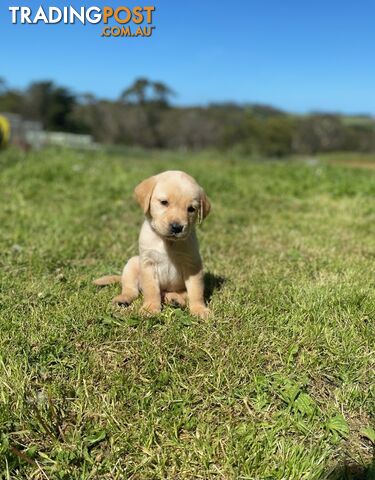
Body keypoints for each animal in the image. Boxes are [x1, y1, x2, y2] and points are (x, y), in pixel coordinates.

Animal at [94, 170, 212, 318]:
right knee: (131, 290)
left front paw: (199, 309)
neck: (167, 242)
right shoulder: (148, 263)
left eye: (191, 209)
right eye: (164, 202)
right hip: (132, 264)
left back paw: (174, 299)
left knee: (177, 294)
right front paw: (150, 308)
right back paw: (122, 299)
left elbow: (196, 291)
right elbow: (151, 290)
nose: (177, 227)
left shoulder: (192, 265)